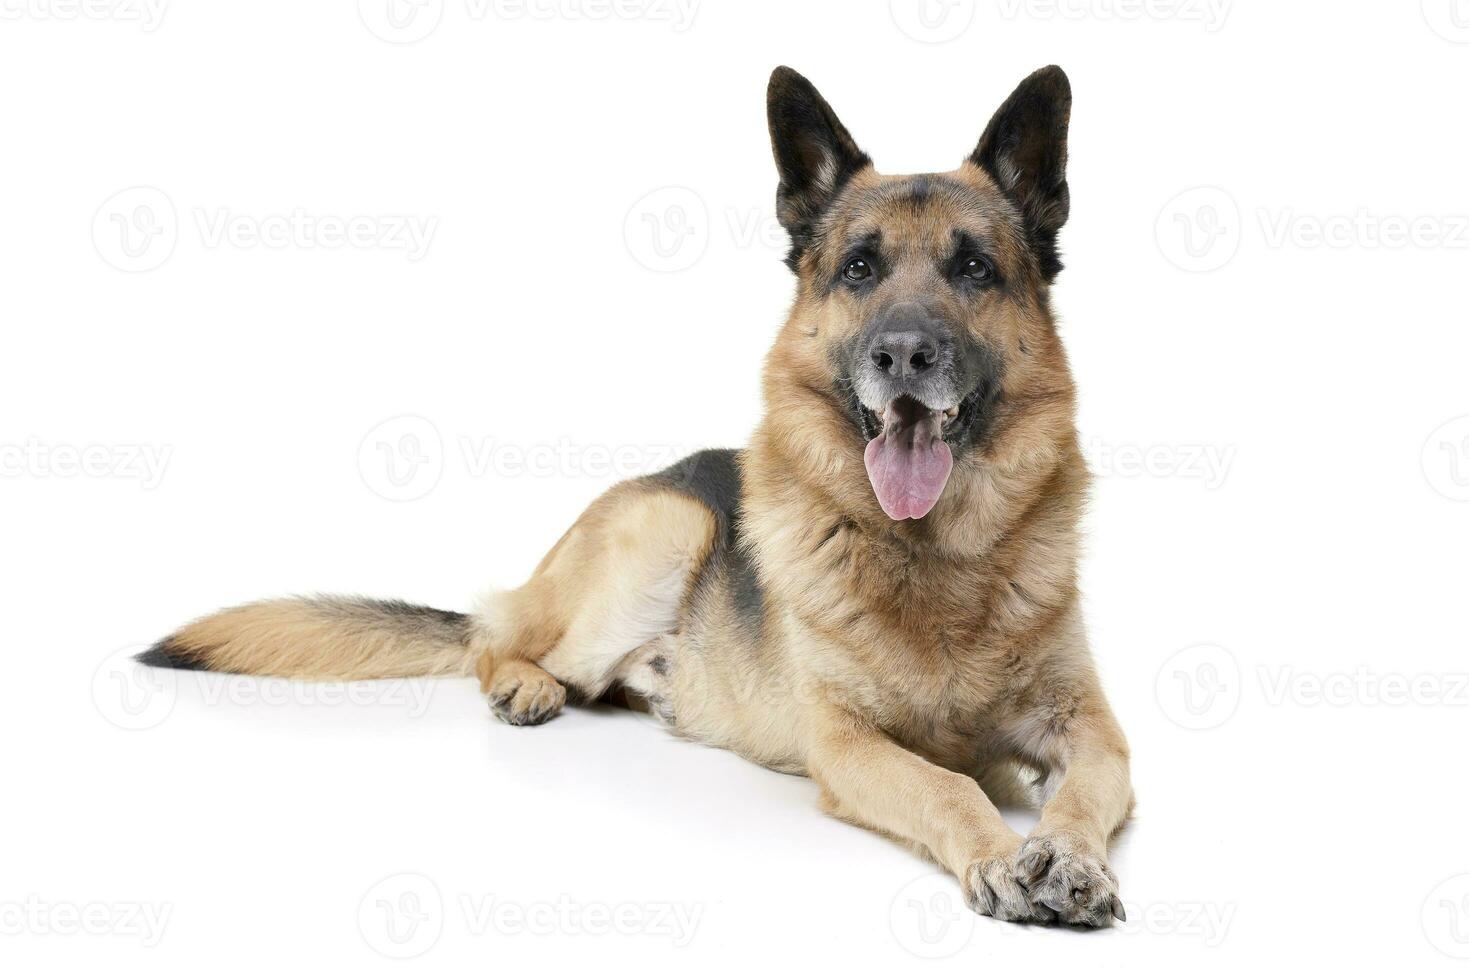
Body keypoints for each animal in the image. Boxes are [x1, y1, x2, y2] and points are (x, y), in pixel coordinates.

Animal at [143, 67, 1134, 928]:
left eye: (974, 270)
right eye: (859, 269)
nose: (903, 355)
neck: (936, 556)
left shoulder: (1092, 730)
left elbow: (1085, 789)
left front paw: (1065, 857)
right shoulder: (848, 745)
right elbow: (947, 783)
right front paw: (999, 854)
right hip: (666, 530)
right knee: (491, 639)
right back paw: (523, 683)